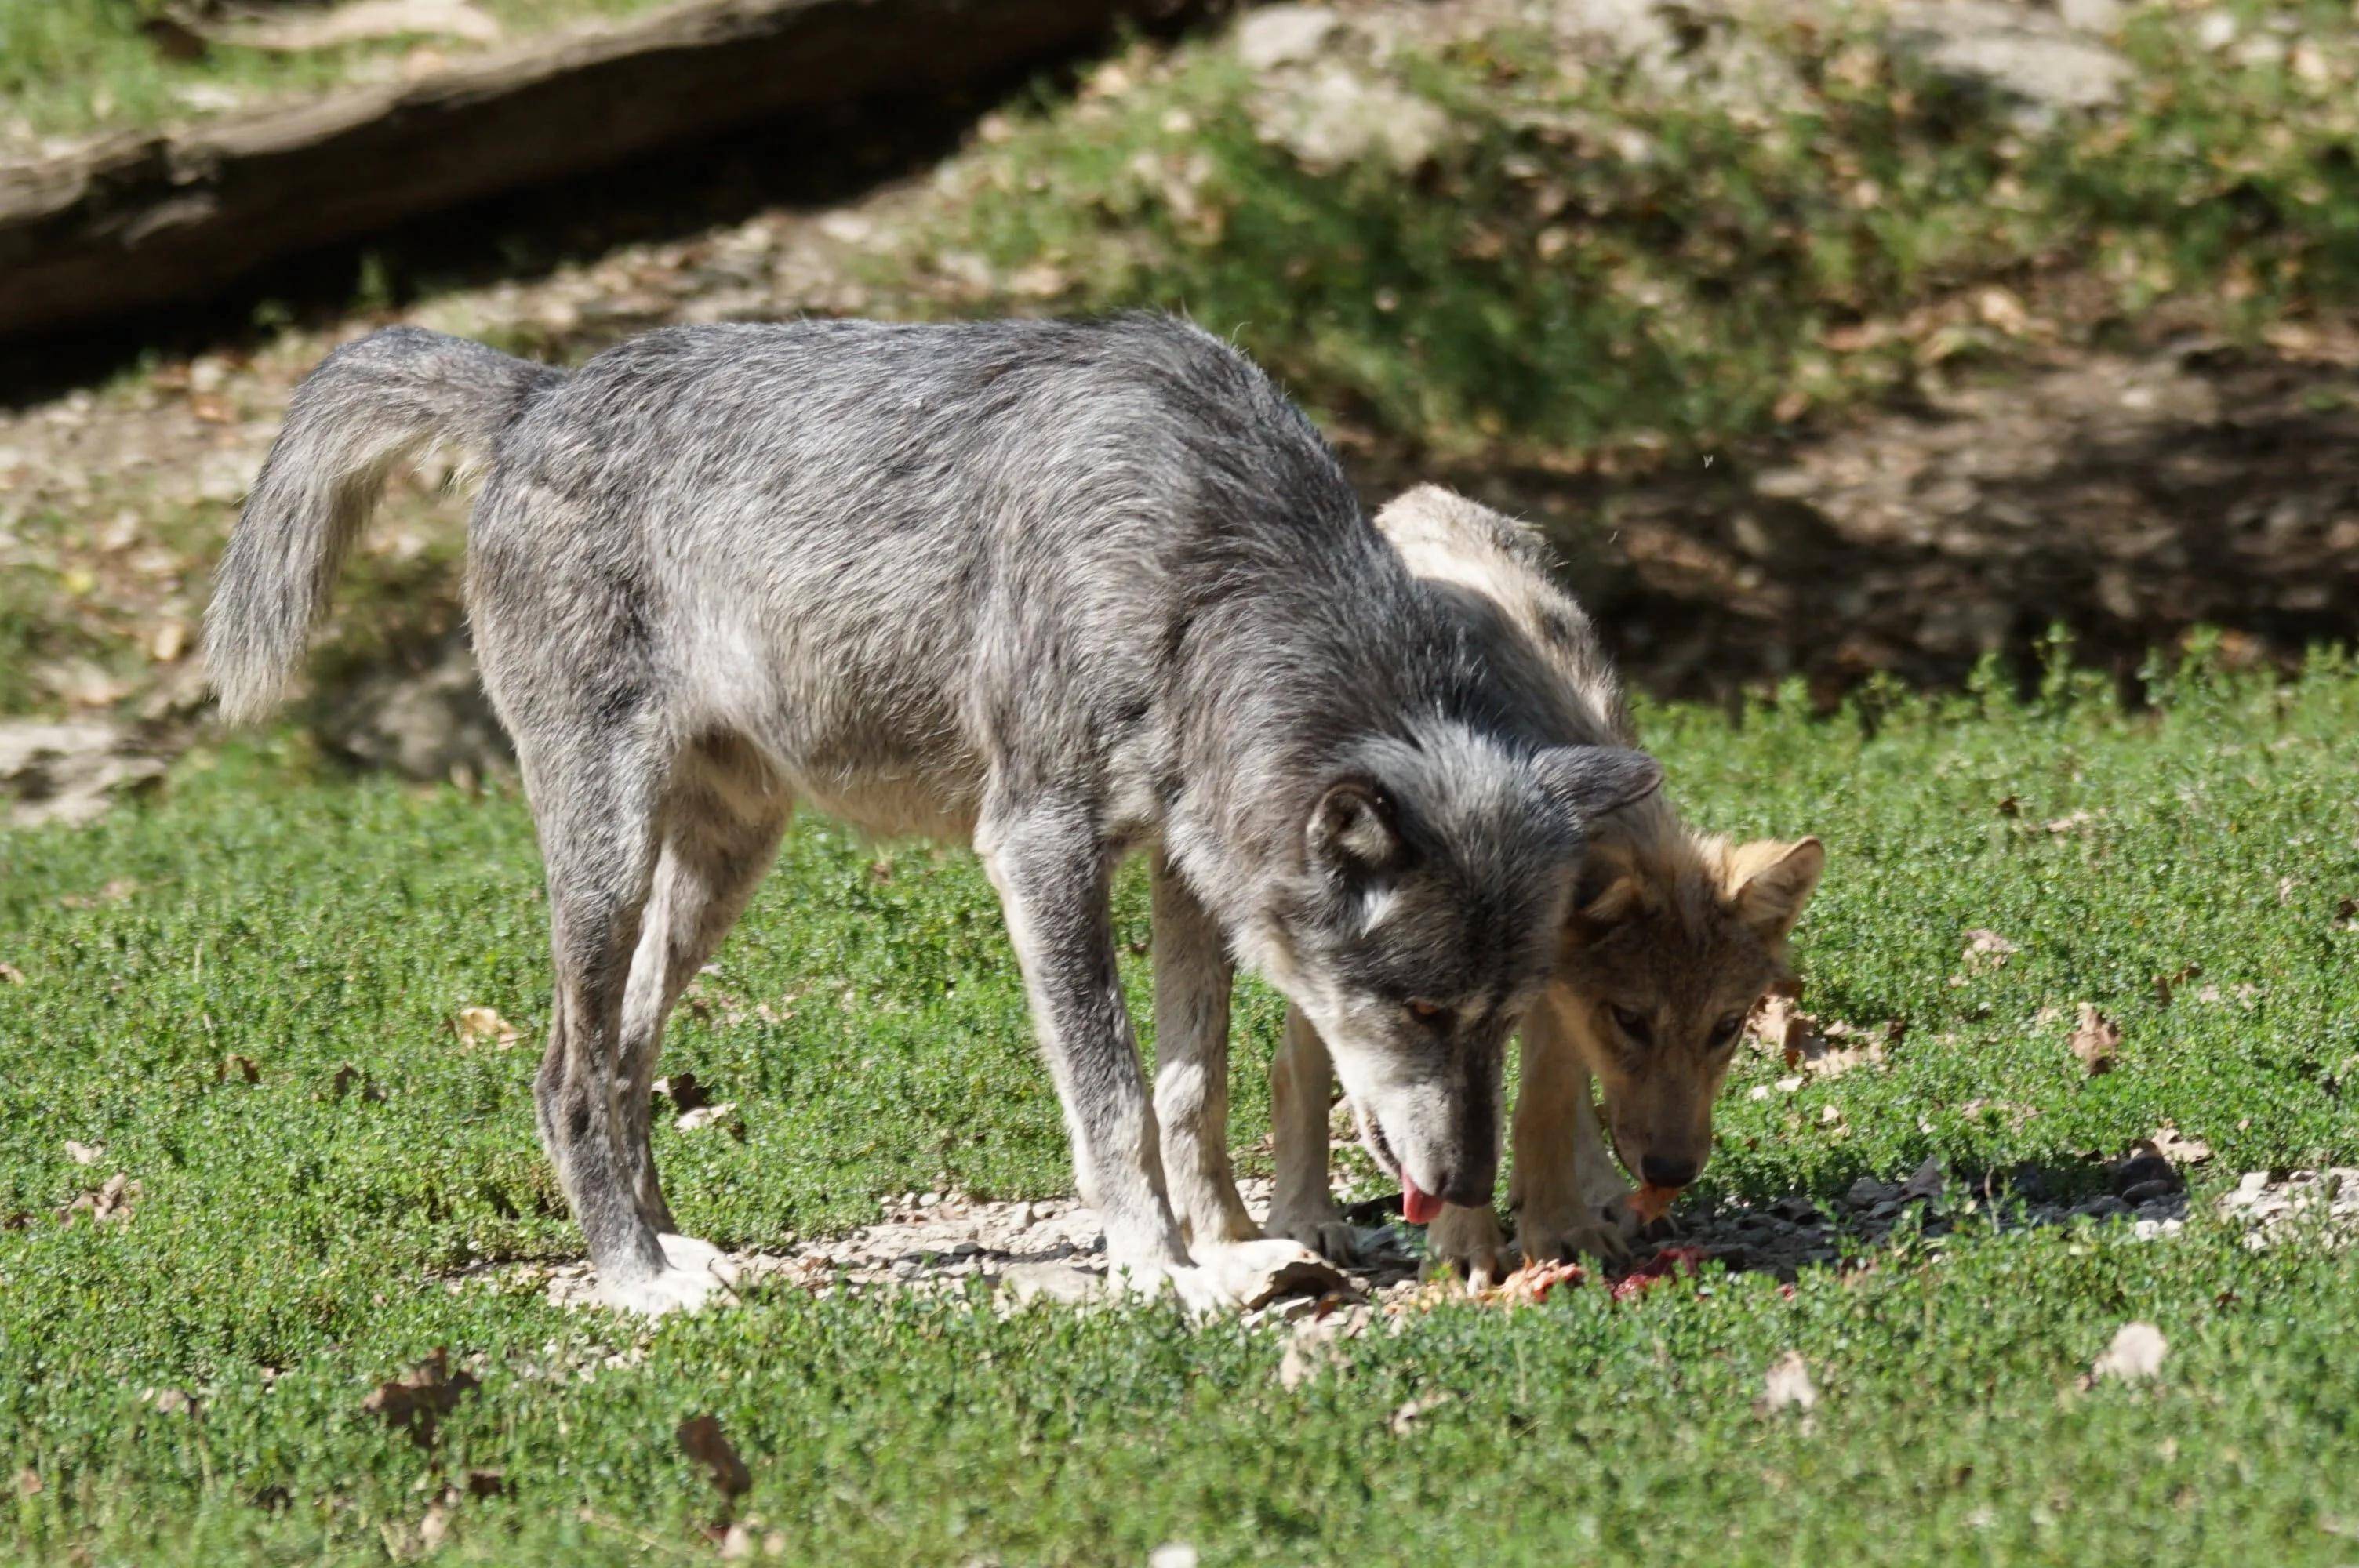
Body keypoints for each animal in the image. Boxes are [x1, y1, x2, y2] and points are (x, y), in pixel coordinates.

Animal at [216, 316, 1660, 1311]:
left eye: (1502, 1018)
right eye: (1416, 1009)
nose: (1463, 1187)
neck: (1208, 576)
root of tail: (535, 394)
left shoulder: (1188, 877)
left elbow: (1191, 1089)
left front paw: (1243, 1249)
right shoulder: (1040, 851)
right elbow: (1115, 1095)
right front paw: (1166, 1272)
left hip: (719, 870)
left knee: (624, 1060)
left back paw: (670, 1243)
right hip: (609, 860)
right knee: (565, 1073)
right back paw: (638, 1283)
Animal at [1274, 483, 1821, 1283]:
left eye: (1725, 1027)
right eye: (1632, 1019)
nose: (1672, 1171)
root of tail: (1416, 499)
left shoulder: (1553, 988)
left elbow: (1548, 1104)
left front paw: (1561, 1228)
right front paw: (1465, 1248)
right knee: (1297, 1063)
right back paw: (1305, 1218)